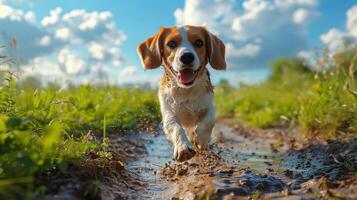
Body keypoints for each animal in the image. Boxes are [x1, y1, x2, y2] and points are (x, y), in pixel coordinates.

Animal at [136, 25, 225, 162]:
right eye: (171, 43)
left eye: (199, 42)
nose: (187, 56)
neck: (186, 91)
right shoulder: (168, 113)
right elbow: (175, 128)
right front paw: (183, 147)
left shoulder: (209, 105)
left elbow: (209, 121)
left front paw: (200, 138)